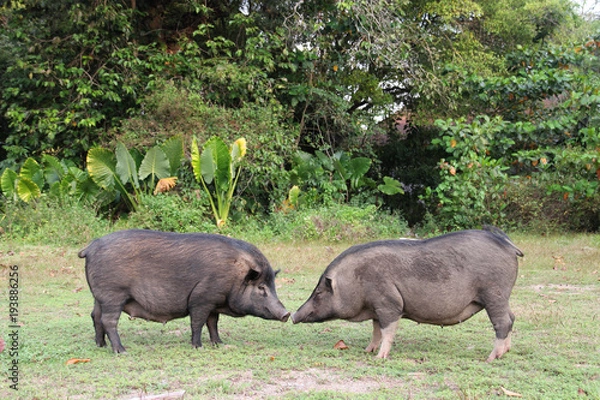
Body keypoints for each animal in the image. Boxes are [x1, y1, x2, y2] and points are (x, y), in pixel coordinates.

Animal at [79, 230, 290, 352]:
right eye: (261, 288)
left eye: (273, 285)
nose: (286, 313)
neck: (234, 275)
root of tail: (90, 247)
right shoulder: (202, 298)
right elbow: (198, 322)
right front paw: (198, 347)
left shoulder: (213, 303)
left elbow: (213, 323)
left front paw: (219, 343)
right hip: (113, 293)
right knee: (108, 320)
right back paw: (121, 350)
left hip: (99, 296)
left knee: (95, 316)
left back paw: (100, 345)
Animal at [292, 227, 524, 360]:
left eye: (319, 293)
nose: (293, 315)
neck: (354, 280)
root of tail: (508, 244)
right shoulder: (376, 308)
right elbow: (376, 330)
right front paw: (367, 351)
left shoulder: (388, 302)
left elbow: (387, 330)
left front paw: (379, 358)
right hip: (502, 297)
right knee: (512, 318)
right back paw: (506, 352)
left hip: (494, 293)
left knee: (503, 322)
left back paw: (491, 358)